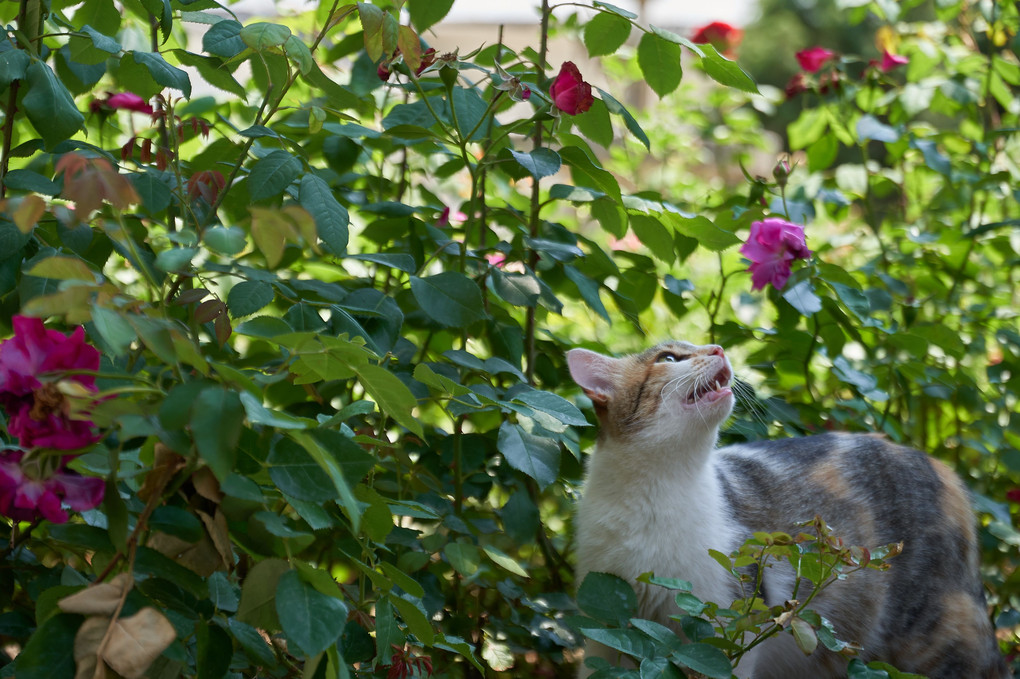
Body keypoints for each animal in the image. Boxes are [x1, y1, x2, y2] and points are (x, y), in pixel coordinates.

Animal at [571, 340, 1007, 676]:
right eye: (668, 358)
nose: (718, 348)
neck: (657, 493)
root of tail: (936, 463)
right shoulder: (605, 631)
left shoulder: (730, 627)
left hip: (933, 635)